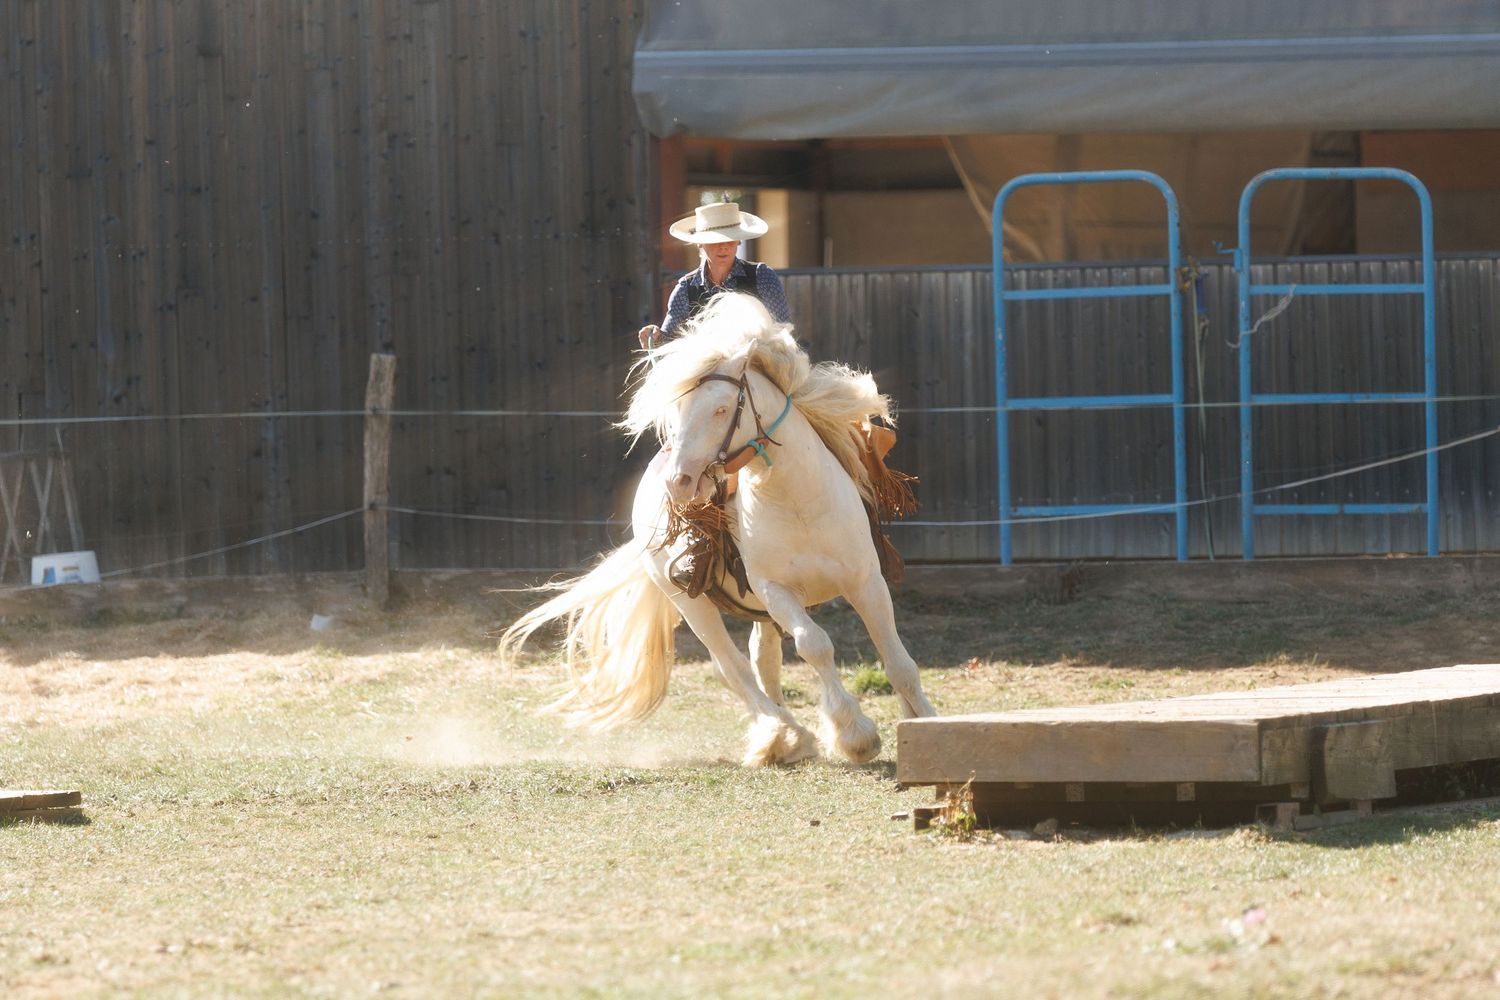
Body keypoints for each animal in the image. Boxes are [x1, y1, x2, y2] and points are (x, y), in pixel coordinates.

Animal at [498, 293, 937, 766]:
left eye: (722, 408)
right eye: (674, 414)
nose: (679, 482)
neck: (799, 503)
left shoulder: (866, 582)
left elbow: (897, 661)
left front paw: (924, 722)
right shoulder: (776, 591)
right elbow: (814, 645)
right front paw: (855, 735)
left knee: (762, 660)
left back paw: (787, 737)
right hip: (692, 604)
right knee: (731, 666)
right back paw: (783, 734)